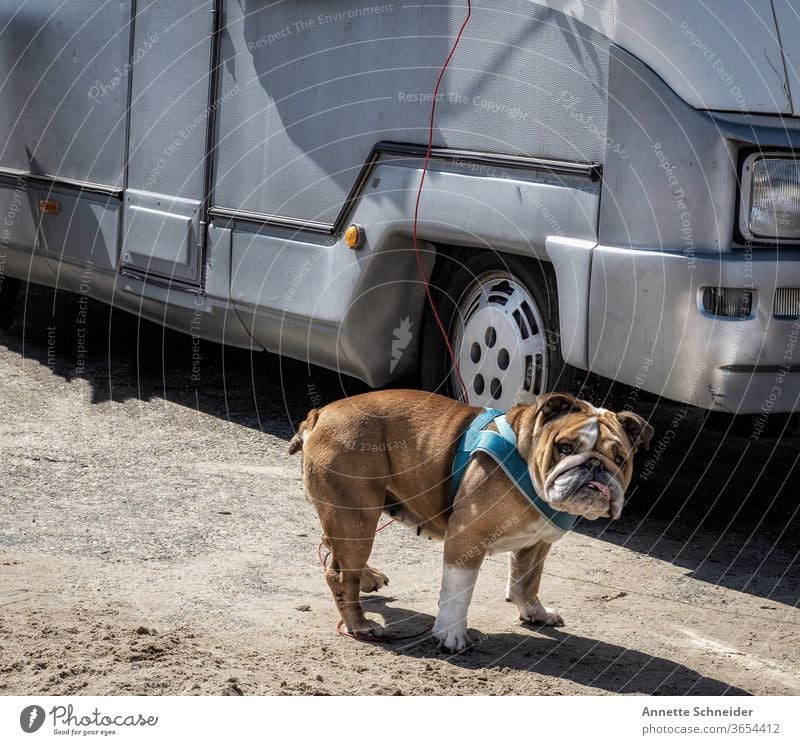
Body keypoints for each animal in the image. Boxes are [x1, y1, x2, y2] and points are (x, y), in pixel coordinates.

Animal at [290, 390, 652, 652]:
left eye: (620, 459)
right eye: (564, 447)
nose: (595, 468)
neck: (526, 458)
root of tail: (320, 414)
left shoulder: (537, 543)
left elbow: (527, 582)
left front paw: (535, 612)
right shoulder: (467, 537)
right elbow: (458, 592)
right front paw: (451, 634)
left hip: (351, 515)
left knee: (333, 547)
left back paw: (367, 577)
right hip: (356, 513)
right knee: (339, 574)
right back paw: (360, 624)